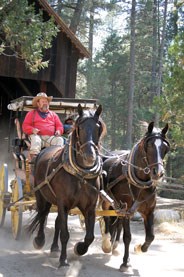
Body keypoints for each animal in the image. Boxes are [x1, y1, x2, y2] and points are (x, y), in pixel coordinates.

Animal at [28, 103, 107, 266]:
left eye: (98, 128)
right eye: (80, 128)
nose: (90, 156)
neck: (80, 175)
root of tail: (45, 150)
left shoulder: (89, 207)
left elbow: (89, 236)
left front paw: (79, 248)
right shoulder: (63, 202)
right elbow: (65, 233)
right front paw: (63, 260)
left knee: (56, 221)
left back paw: (54, 248)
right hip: (41, 195)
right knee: (42, 214)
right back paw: (39, 240)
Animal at [100, 122, 170, 270]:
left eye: (165, 147)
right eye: (149, 145)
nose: (158, 173)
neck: (140, 183)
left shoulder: (149, 211)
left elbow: (150, 236)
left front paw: (139, 248)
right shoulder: (126, 210)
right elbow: (127, 237)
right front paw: (125, 262)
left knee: (117, 223)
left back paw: (114, 244)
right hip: (107, 201)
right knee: (107, 219)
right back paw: (107, 243)